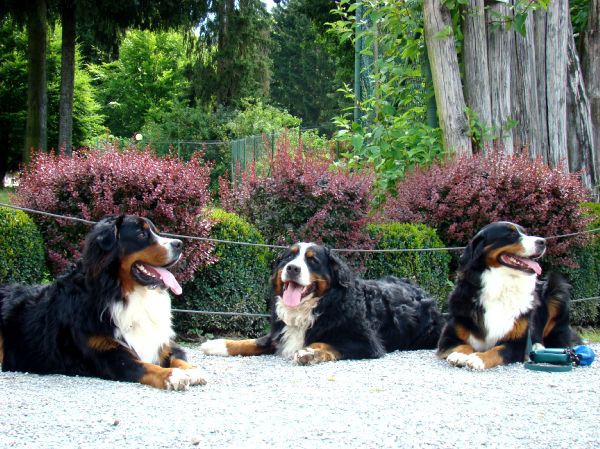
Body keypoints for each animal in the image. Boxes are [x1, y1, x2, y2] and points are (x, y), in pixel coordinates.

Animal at [0, 214, 206, 388]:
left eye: (156, 231)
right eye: (141, 234)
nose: (179, 243)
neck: (120, 293)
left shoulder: (162, 343)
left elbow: (179, 356)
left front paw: (192, 371)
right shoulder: (107, 353)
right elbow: (145, 366)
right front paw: (172, 375)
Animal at [199, 242, 442, 364]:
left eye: (312, 260)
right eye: (288, 258)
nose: (292, 268)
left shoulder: (366, 343)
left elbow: (326, 343)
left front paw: (308, 353)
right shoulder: (280, 332)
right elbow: (252, 342)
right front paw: (219, 344)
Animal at [436, 219, 580, 370]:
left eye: (525, 232)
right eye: (511, 234)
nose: (543, 241)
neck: (501, 287)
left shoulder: (517, 344)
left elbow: (496, 351)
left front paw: (478, 358)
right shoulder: (448, 337)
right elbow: (462, 346)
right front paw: (459, 355)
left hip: (556, 286)